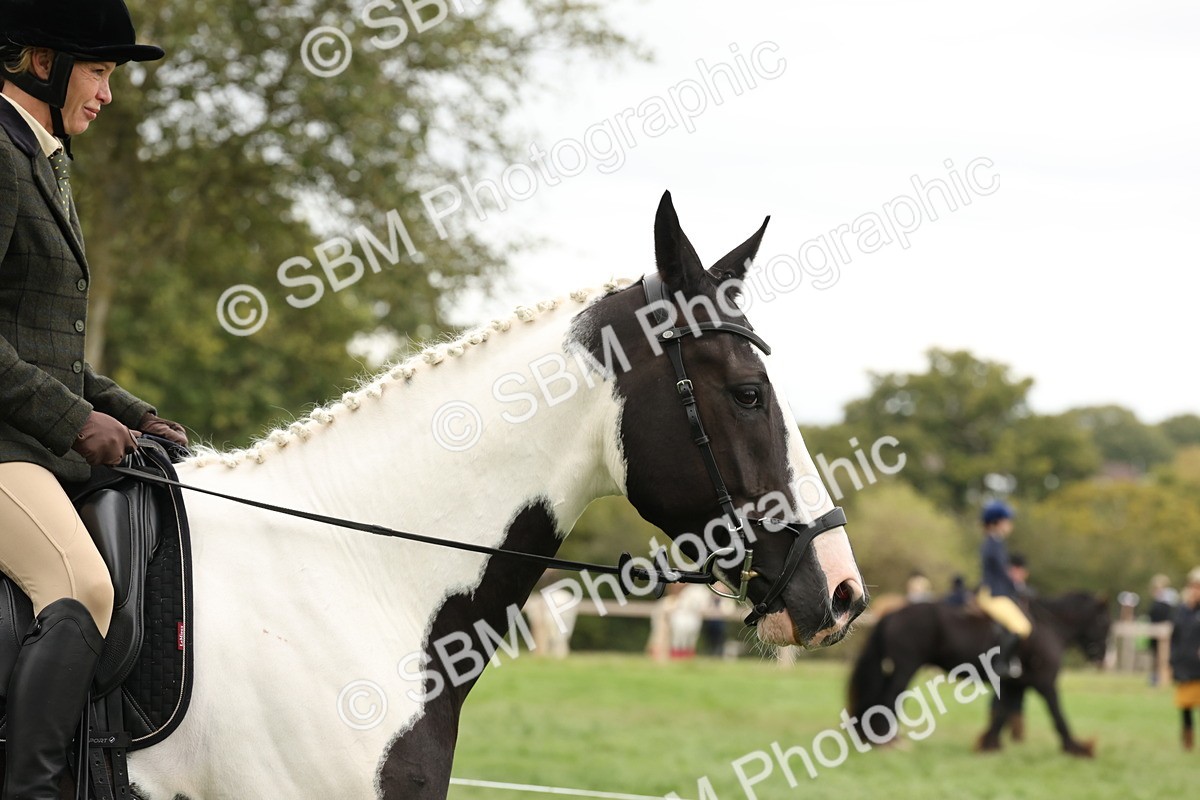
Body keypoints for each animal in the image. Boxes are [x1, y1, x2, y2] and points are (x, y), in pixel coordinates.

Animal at [847, 592, 1109, 757]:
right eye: (1104, 623)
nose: (1103, 660)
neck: (1049, 627)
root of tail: (893, 613)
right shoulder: (1045, 682)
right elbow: (1058, 715)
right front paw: (1077, 748)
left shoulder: (1015, 684)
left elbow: (1001, 714)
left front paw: (988, 745)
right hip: (905, 667)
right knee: (889, 699)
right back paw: (887, 741)